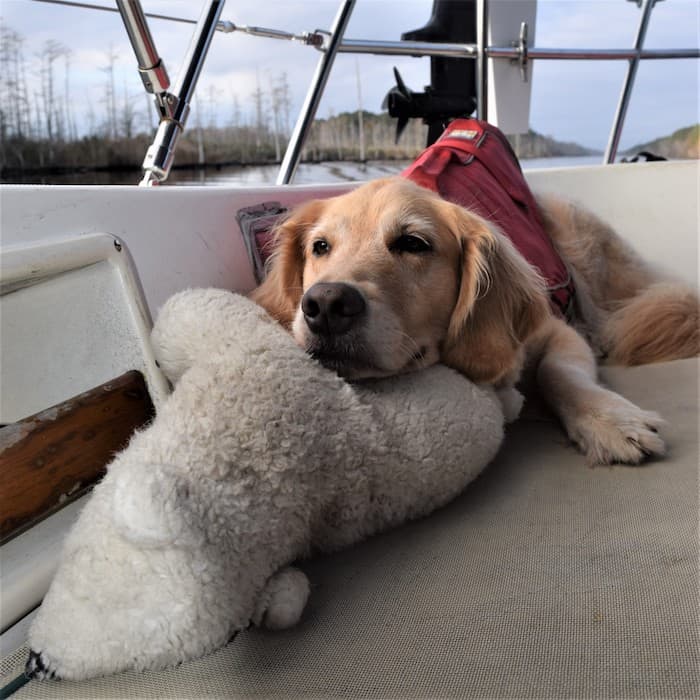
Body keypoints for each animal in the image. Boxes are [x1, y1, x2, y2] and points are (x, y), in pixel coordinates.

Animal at [253, 178, 700, 468]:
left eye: (413, 243)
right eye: (320, 247)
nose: (326, 305)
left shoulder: (557, 329)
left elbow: (558, 372)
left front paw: (610, 420)